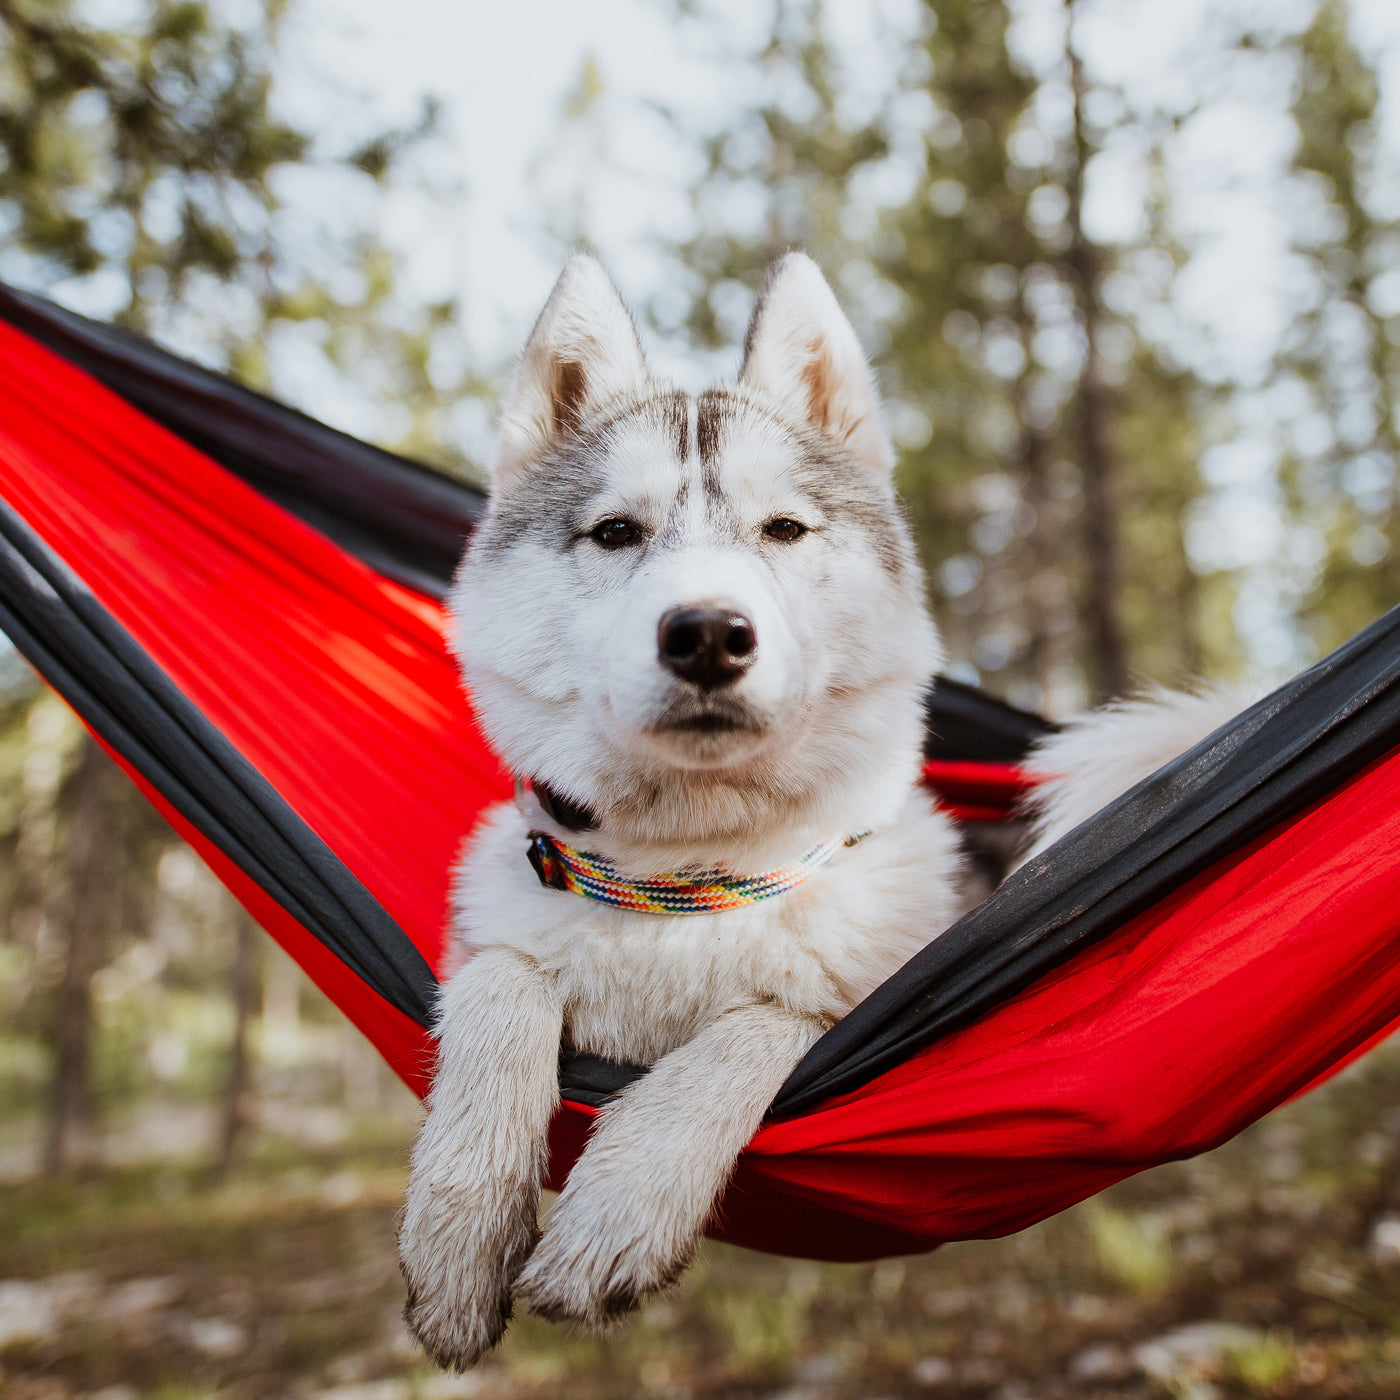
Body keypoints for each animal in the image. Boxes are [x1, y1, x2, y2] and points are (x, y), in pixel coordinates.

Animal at [394, 249, 1248, 1366]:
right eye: (615, 532)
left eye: (784, 529)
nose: (708, 633)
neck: (689, 884)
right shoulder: (499, 930)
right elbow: (500, 992)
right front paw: (458, 1232)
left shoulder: (851, 993)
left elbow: (757, 1028)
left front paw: (620, 1204)